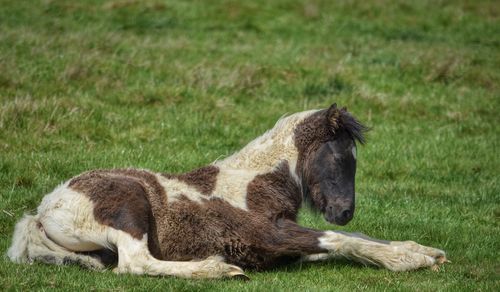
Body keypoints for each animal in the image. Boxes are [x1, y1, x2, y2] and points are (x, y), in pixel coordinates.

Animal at [7, 104, 448, 278]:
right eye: (341, 156)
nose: (344, 210)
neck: (255, 183)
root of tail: (42, 212)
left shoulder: (282, 246)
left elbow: (351, 239)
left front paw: (425, 251)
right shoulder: (268, 235)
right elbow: (341, 239)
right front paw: (409, 260)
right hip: (129, 208)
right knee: (135, 263)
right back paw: (218, 269)